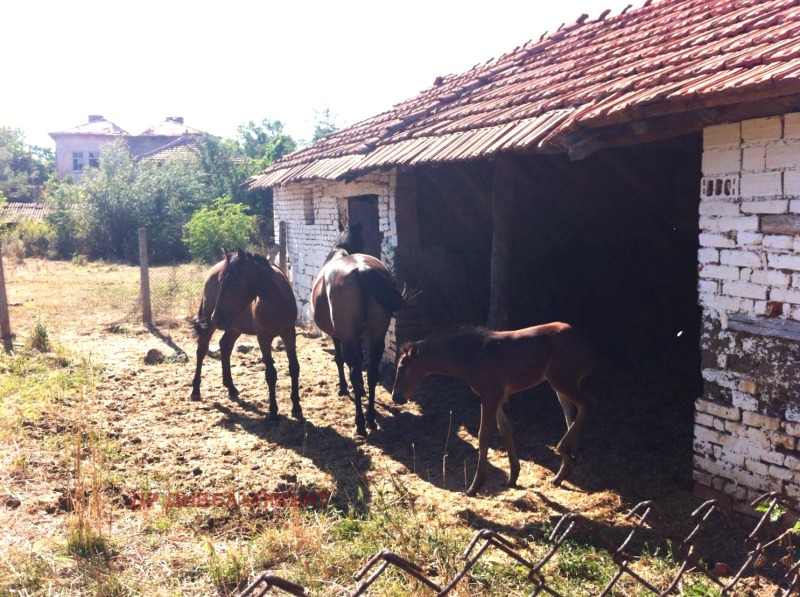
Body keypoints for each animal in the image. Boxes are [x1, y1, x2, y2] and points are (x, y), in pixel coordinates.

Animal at [189, 247, 302, 420]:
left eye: (235, 283)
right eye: (221, 282)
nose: (216, 319)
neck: (276, 301)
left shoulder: (289, 333)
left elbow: (294, 367)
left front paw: (296, 407)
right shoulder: (263, 337)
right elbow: (270, 373)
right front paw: (273, 411)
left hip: (234, 326)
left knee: (225, 346)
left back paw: (231, 387)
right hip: (210, 322)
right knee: (201, 349)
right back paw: (195, 390)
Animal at [310, 224, 404, 438]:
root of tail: (362, 269)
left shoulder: (339, 336)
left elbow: (339, 360)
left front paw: (345, 389)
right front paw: (358, 391)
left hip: (348, 338)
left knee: (354, 370)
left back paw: (360, 423)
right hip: (377, 338)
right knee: (372, 374)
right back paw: (370, 419)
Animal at [390, 322, 596, 494]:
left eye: (402, 367)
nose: (396, 397)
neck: (471, 357)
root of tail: (585, 344)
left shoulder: (490, 395)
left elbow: (483, 436)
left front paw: (475, 486)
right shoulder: (498, 396)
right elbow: (505, 430)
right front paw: (513, 476)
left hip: (562, 380)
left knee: (587, 404)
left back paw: (564, 454)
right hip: (560, 385)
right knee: (571, 418)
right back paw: (563, 472)